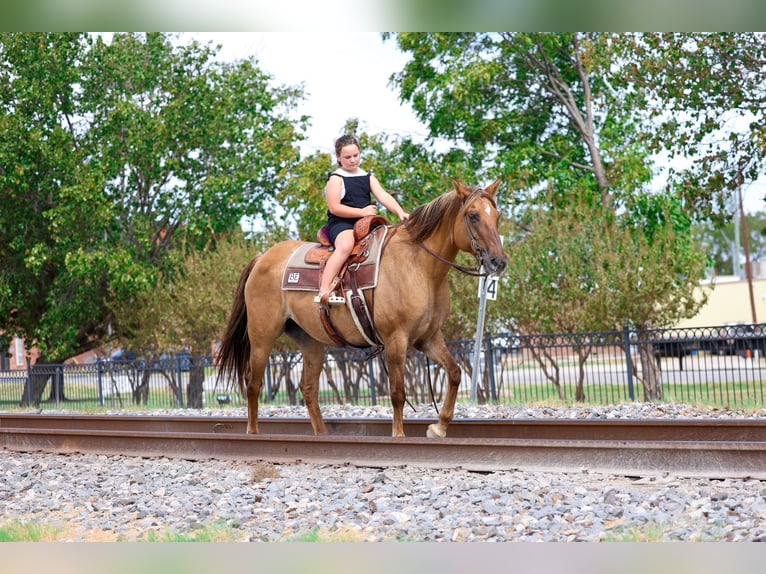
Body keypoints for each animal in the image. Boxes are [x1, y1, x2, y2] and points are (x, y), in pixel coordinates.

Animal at [216, 179, 508, 438]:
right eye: (473, 216)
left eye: (497, 215)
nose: (499, 261)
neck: (420, 266)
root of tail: (262, 258)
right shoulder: (396, 339)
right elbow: (397, 393)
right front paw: (399, 435)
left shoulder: (428, 338)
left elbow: (455, 373)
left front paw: (439, 426)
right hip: (262, 337)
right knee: (253, 384)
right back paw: (253, 432)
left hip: (310, 342)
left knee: (308, 388)